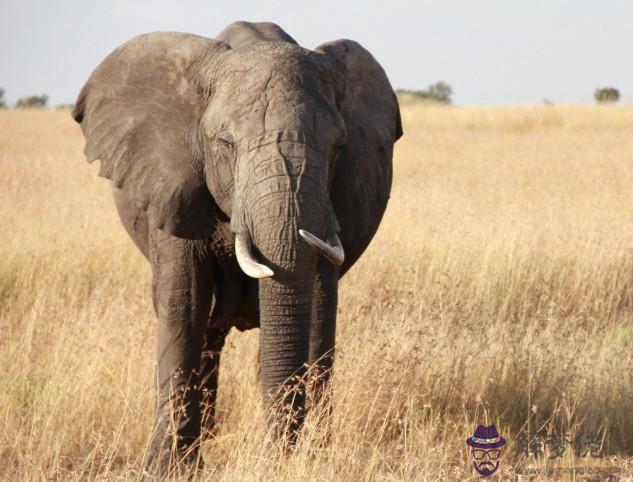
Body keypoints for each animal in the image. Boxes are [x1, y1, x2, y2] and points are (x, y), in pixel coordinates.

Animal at [73, 21, 400, 474]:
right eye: (226, 144)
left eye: (339, 146)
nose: (278, 456)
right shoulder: (171, 185)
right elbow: (184, 303)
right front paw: (166, 470)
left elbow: (319, 304)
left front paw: (312, 457)